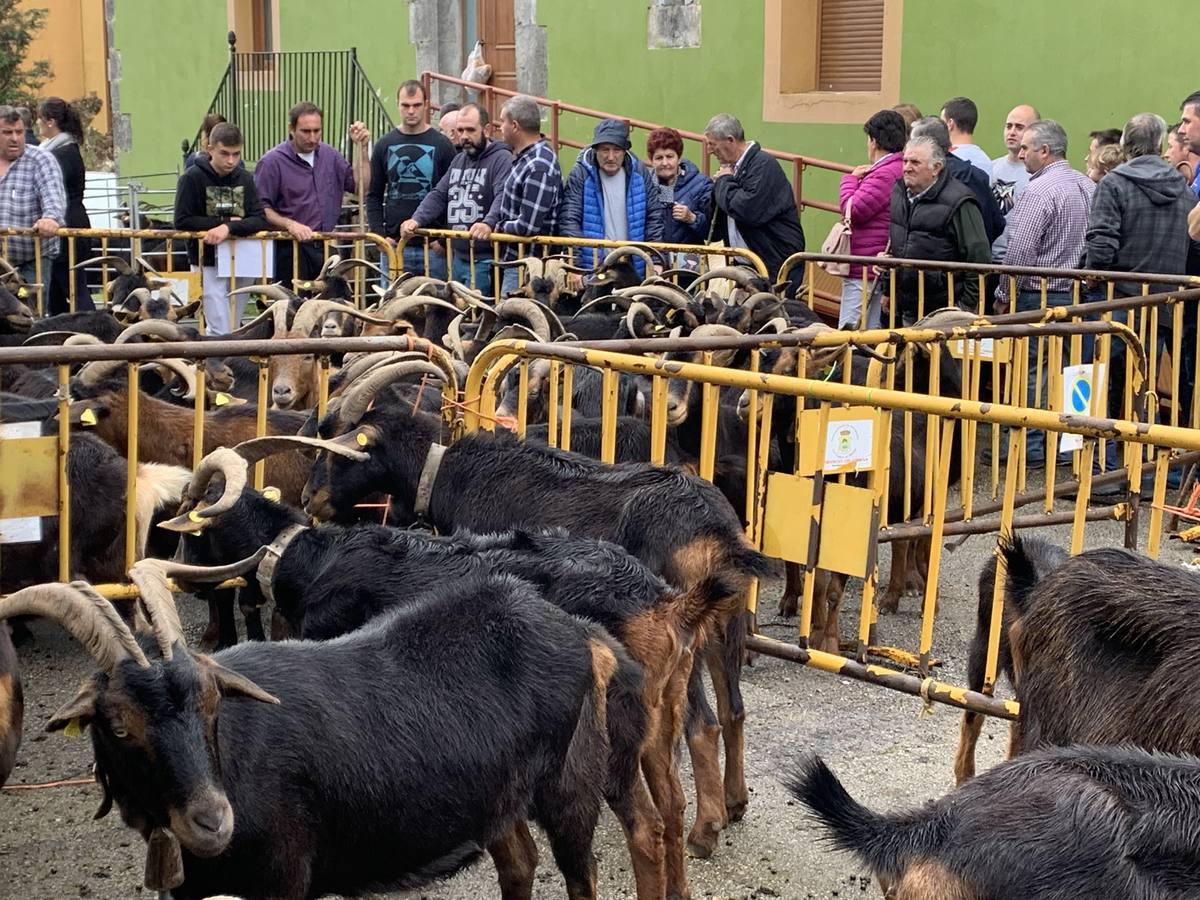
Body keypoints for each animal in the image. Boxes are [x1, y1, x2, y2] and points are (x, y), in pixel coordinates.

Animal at [0, 564, 652, 900]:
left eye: (211, 702)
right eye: (115, 723)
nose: (213, 821)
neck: (232, 759)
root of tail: (580, 631)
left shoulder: (286, 875)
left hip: (570, 781)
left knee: (581, 870)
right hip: (495, 800)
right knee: (518, 861)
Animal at [296, 357, 772, 859]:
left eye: (338, 450)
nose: (309, 499)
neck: (441, 469)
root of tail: (717, 534)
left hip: (684, 641)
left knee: (702, 724)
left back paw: (705, 830)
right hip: (727, 624)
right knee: (733, 709)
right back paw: (734, 803)